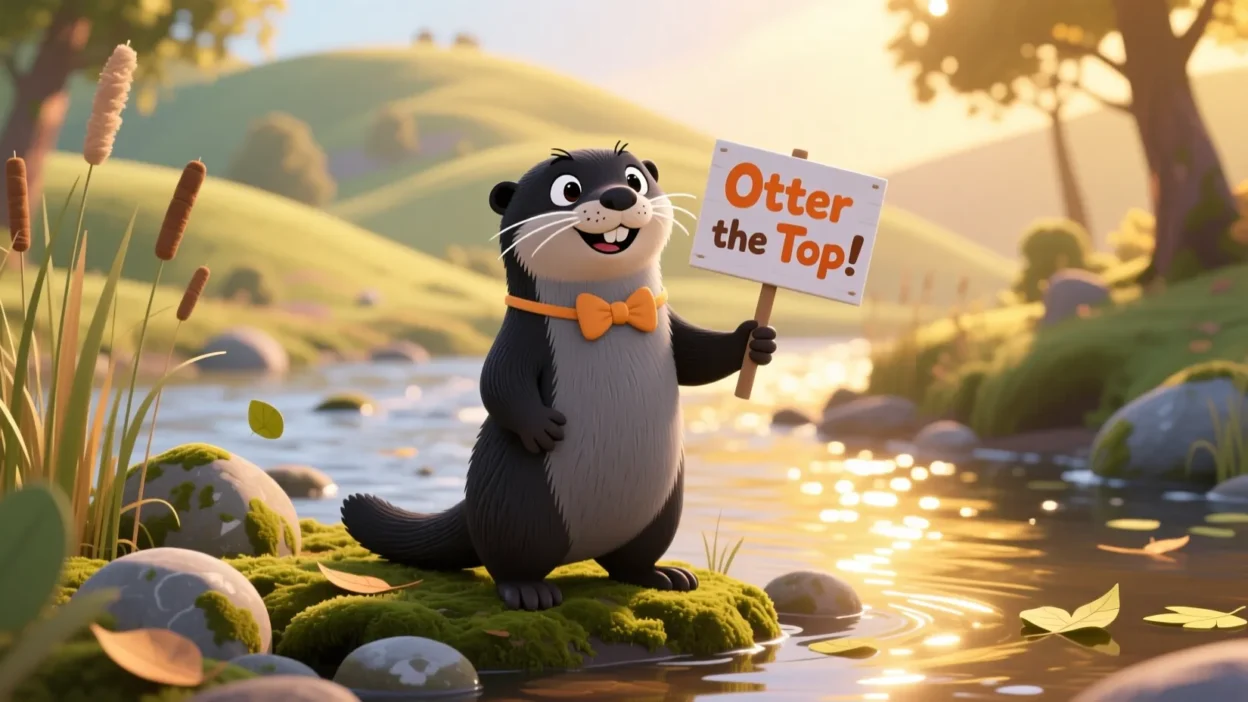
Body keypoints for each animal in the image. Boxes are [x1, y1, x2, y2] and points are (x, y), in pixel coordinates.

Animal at [341, 144, 778, 611]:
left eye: (635, 178)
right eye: (568, 189)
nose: (619, 196)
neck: (609, 311)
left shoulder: (667, 325)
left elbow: (700, 358)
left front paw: (755, 340)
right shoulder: (521, 337)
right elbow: (496, 383)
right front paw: (541, 427)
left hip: (661, 507)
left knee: (630, 559)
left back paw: (663, 576)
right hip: (518, 501)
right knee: (510, 559)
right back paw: (529, 592)